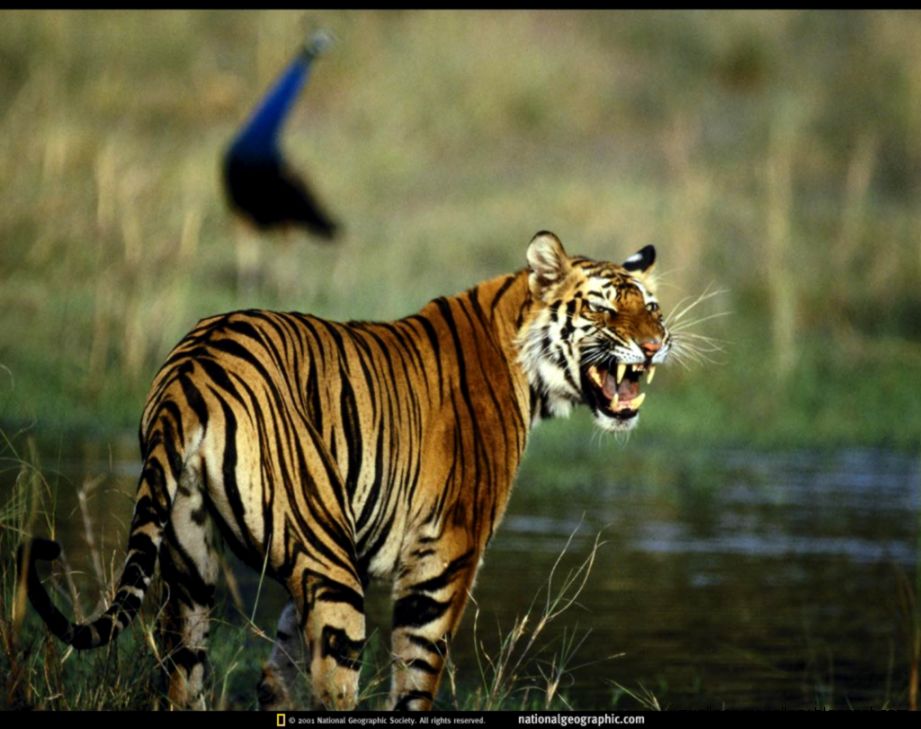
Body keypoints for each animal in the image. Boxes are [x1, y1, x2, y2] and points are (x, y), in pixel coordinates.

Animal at [19, 230, 670, 710]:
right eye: (602, 306)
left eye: (651, 307)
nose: (657, 345)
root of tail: (191, 369)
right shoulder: (444, 558)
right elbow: (415, 680)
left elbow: (278, 668)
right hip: (326, 563)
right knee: (338, 682)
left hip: (193, 567)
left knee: (182, 675)